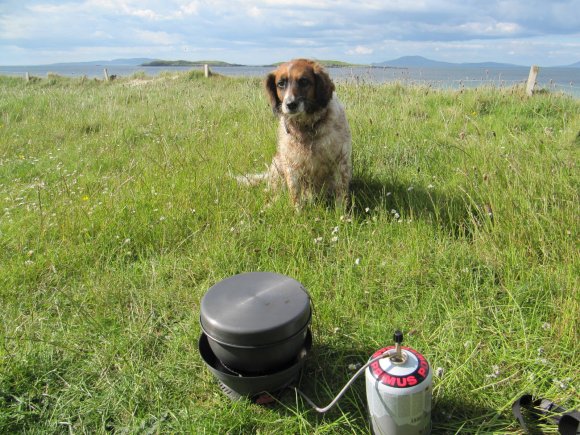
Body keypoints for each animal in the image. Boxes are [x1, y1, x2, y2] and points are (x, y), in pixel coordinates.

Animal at [238, 58, 352, 209]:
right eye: (281, 83)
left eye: (304, 81)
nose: (290, 104)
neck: (306, 126)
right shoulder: (291, 164)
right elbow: (295, 194)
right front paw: (297, 212)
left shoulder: (341, 162)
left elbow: (341, 193)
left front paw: (342, 213)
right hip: (277, 164)